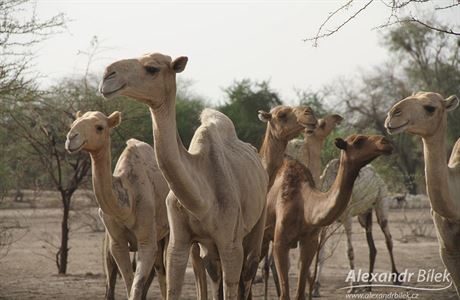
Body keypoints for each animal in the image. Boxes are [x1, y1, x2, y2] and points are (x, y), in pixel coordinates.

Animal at [65, 110, 170, 300]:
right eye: (73, 124)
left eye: (99, 127)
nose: (71, 138)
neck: (126, 206)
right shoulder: (116, 243)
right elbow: (129, 283)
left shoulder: (146, 240)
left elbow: (136, 285)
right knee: (159, 269)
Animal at [99, 52, 268, 298]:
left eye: (152, 68)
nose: (107, 75)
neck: (202, 199)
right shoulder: (178, 242)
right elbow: (173, 288)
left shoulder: (231, 244)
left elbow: (232, 287)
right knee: (215, 274)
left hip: (257, 225)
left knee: (247, 273)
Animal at [262, 135, 392, 300]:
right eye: (358, 141)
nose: (385, 142)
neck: (304, 204)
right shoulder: (281, 242)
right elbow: (285, 294)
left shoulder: (310, 241)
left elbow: (300, 292)